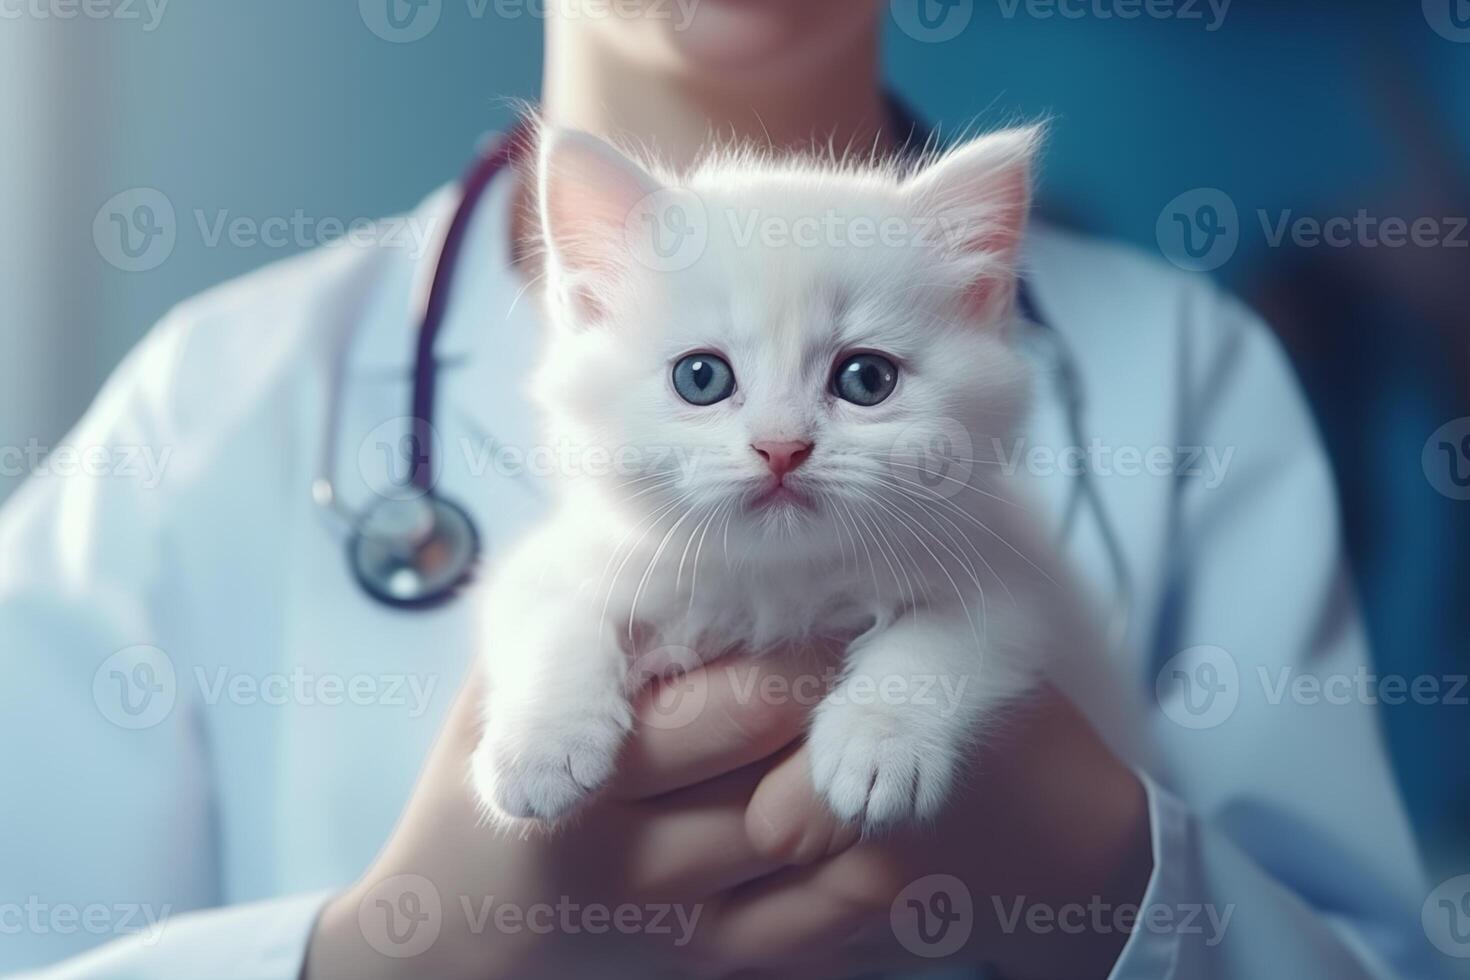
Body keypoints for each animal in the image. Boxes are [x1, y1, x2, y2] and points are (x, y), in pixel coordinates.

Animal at [470, 119, 1058, 834]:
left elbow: (939, 641)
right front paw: (543, 749)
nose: (781, 448)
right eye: (701, 378)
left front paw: (880, 744)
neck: (775, 577)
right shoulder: (550, 564)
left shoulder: (1015, 582)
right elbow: (556, 622)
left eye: (867, 379)